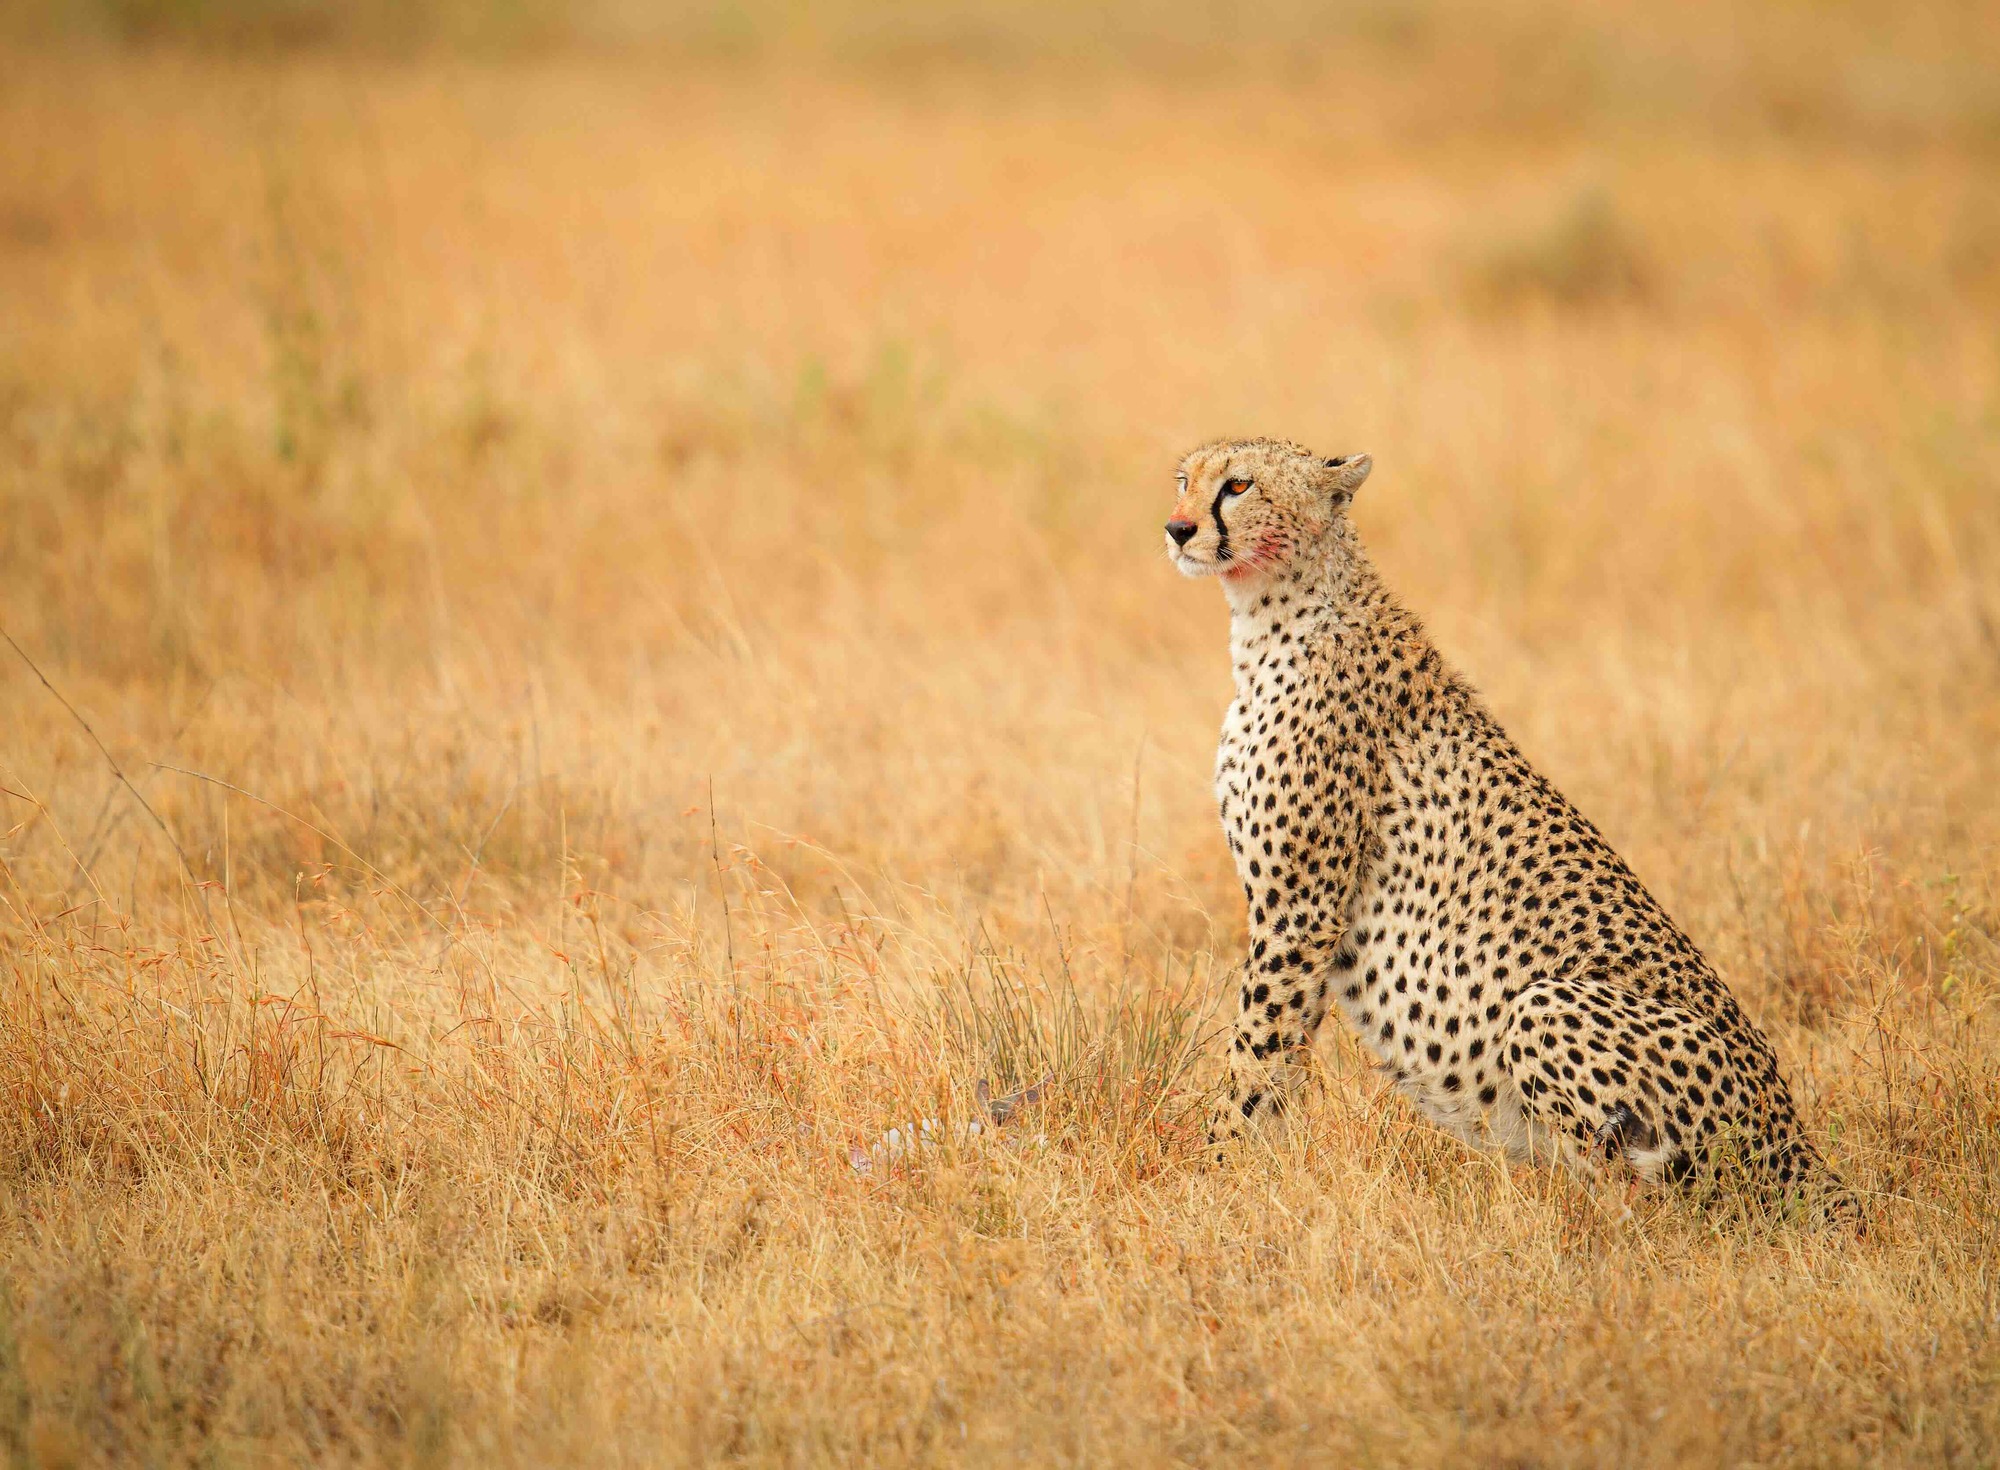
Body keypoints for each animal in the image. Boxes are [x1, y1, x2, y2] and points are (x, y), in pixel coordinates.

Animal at [1166, 436, 1859, 1224]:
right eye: (1184, 480)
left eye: (1239, 485)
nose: (1178, 528)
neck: (1273, 610)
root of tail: (1800, 1142)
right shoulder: (1305, 922)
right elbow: (1281, 1059)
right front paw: (1252, 1181)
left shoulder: (1301, 911)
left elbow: (1256, 1052)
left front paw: (1214, 1176)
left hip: (1544, 1006)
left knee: (1651, 1199)